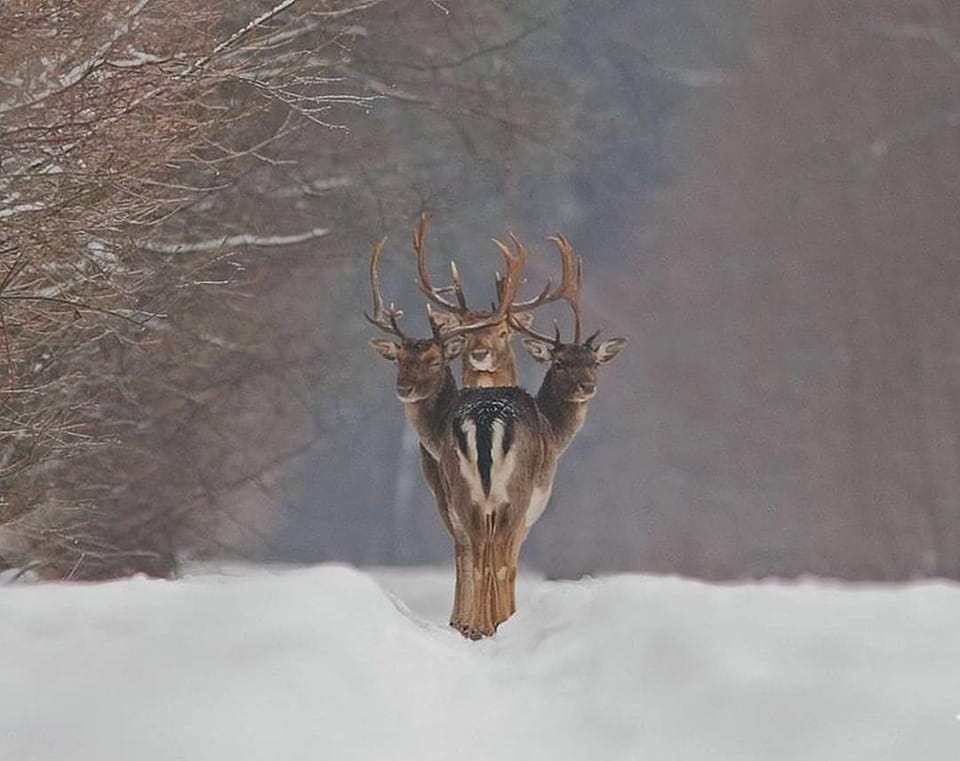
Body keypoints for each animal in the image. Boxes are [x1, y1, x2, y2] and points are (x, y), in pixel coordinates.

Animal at [434, 232, 632, 636]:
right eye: (560, 363)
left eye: (594, 362)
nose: (588, 386)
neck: (553, 431)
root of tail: (484, 421)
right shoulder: (532, 506)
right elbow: (510, 564)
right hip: (514, 493)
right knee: (495, 559)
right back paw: (492, 624)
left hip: (463, 493)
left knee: (473, 554)